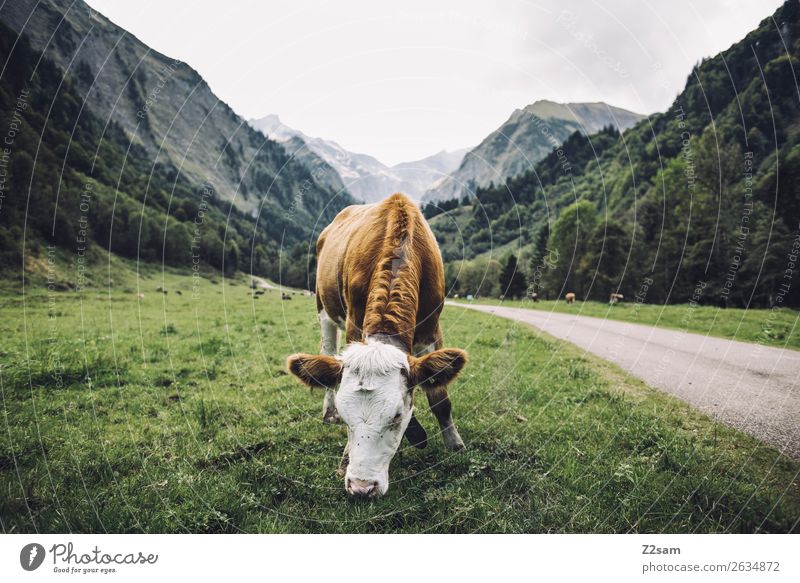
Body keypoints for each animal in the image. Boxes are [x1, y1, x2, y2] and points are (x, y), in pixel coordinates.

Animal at [286, 194, 468, 500]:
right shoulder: (353, 325)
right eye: (348, 417)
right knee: (327, 353)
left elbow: (440, 398)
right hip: (323, 308)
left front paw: (454, 444)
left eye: (397, 417)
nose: (361, 487)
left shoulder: (432, 330)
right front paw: (345, 457)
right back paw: (328, 412)